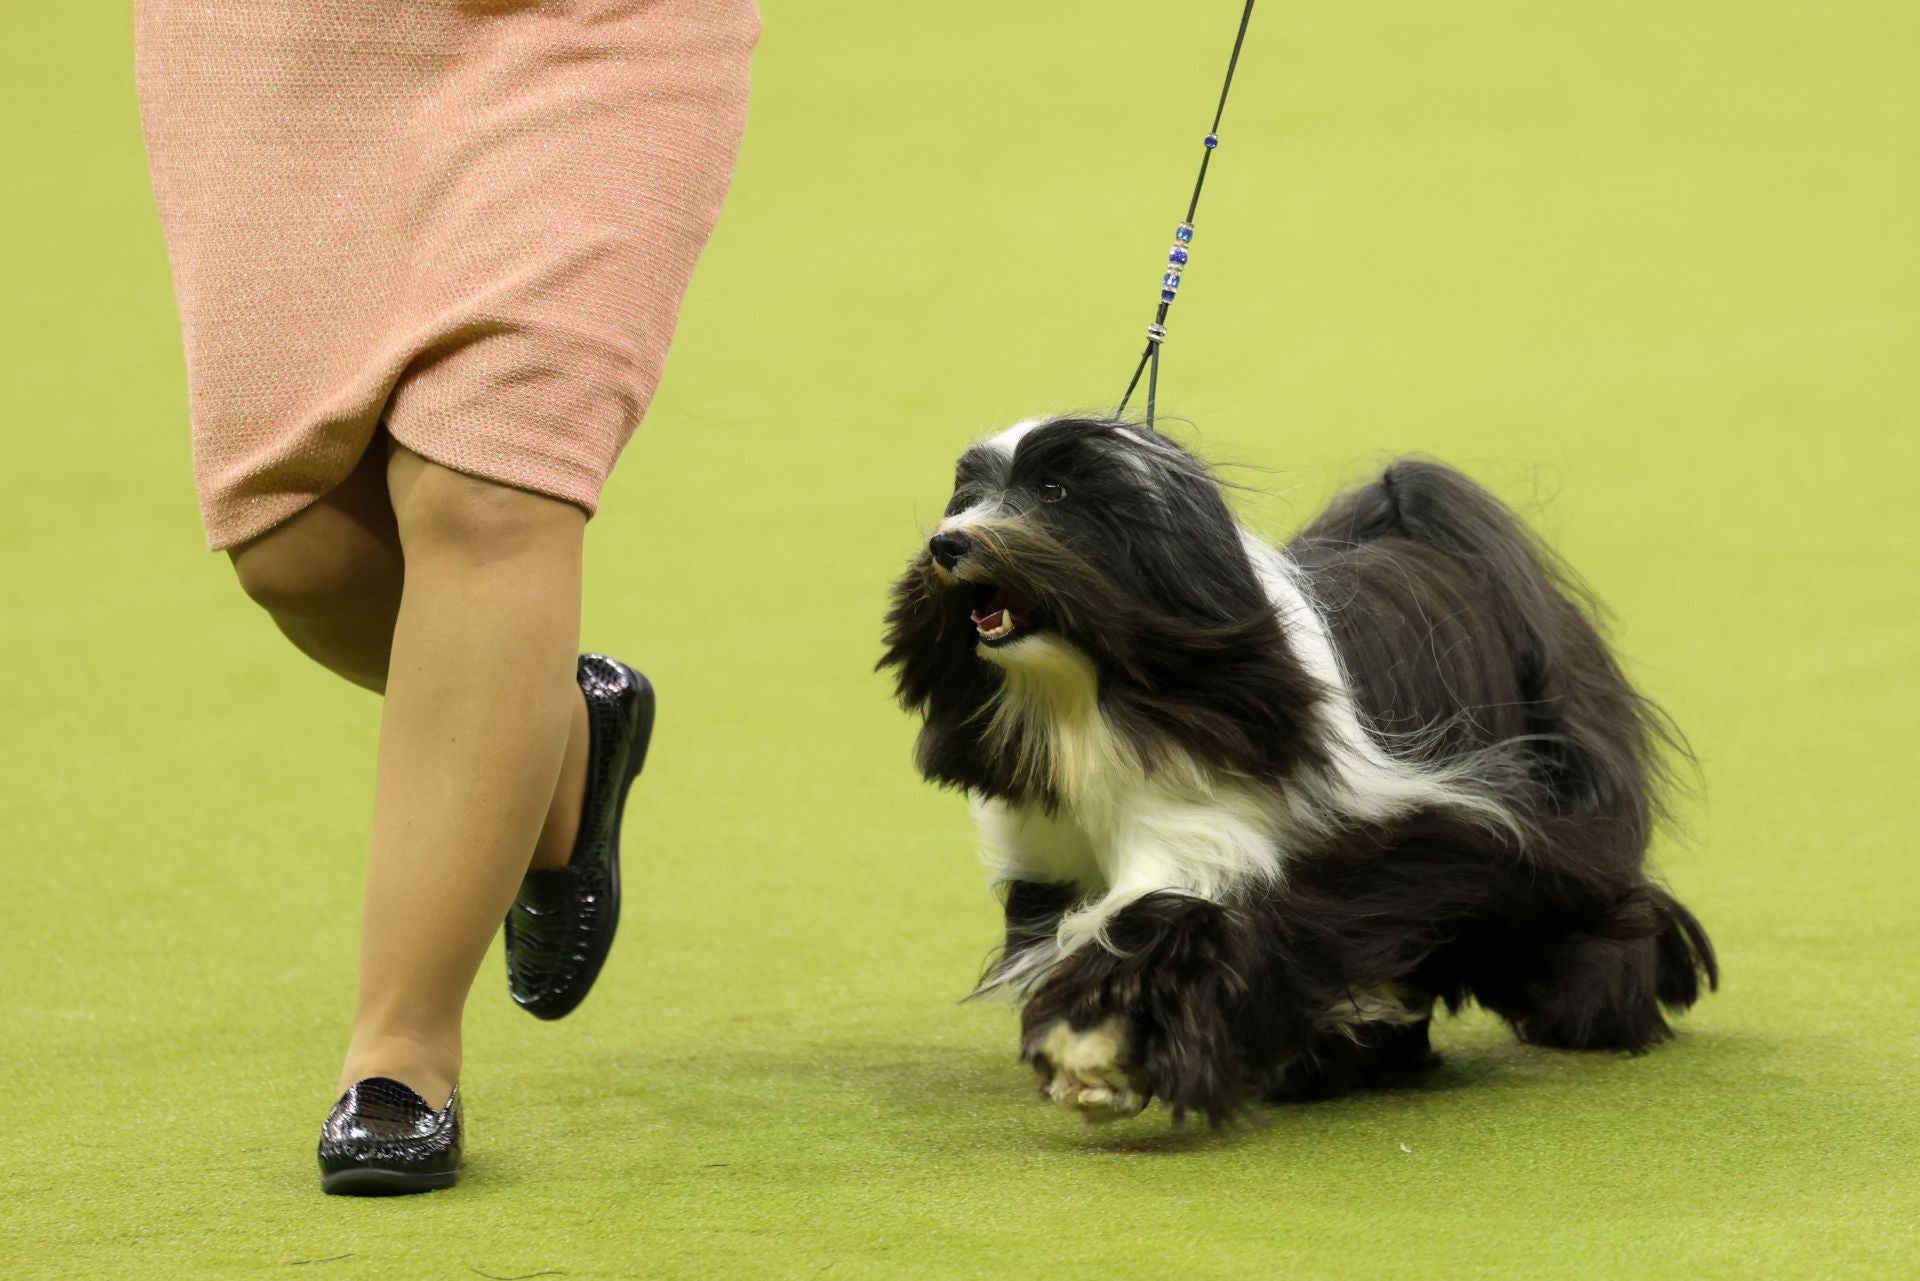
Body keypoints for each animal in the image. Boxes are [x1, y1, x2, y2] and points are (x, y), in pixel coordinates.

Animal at [879, 418, 1720, 1121]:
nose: (948, 543)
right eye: (968, 495)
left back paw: (1594, 1014)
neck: (1096, 697)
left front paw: (1105, 1056)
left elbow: (1175, 933)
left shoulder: (1257, 845)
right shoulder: (1055, 867)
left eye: (1053, 491)